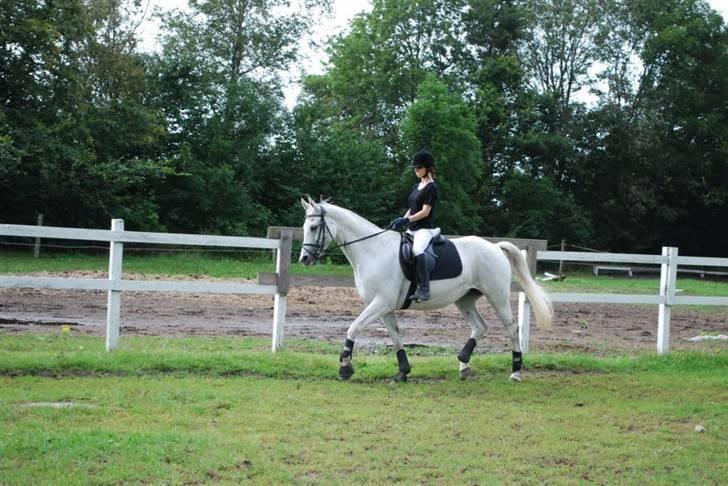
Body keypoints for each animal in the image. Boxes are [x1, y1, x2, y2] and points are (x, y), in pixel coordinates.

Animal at [298, 196, 552, 380]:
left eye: (314, 227)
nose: (304, 259)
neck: (373, 250)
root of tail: (495, 247)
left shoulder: (380, 303)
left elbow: (353, 328)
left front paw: (345, 368)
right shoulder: (384, 307)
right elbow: (396, 337)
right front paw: (402, 372)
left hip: (496, 297)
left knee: (512, 328)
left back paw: (515, 371)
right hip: (465, 299)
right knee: (480, 326)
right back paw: (463, 365)